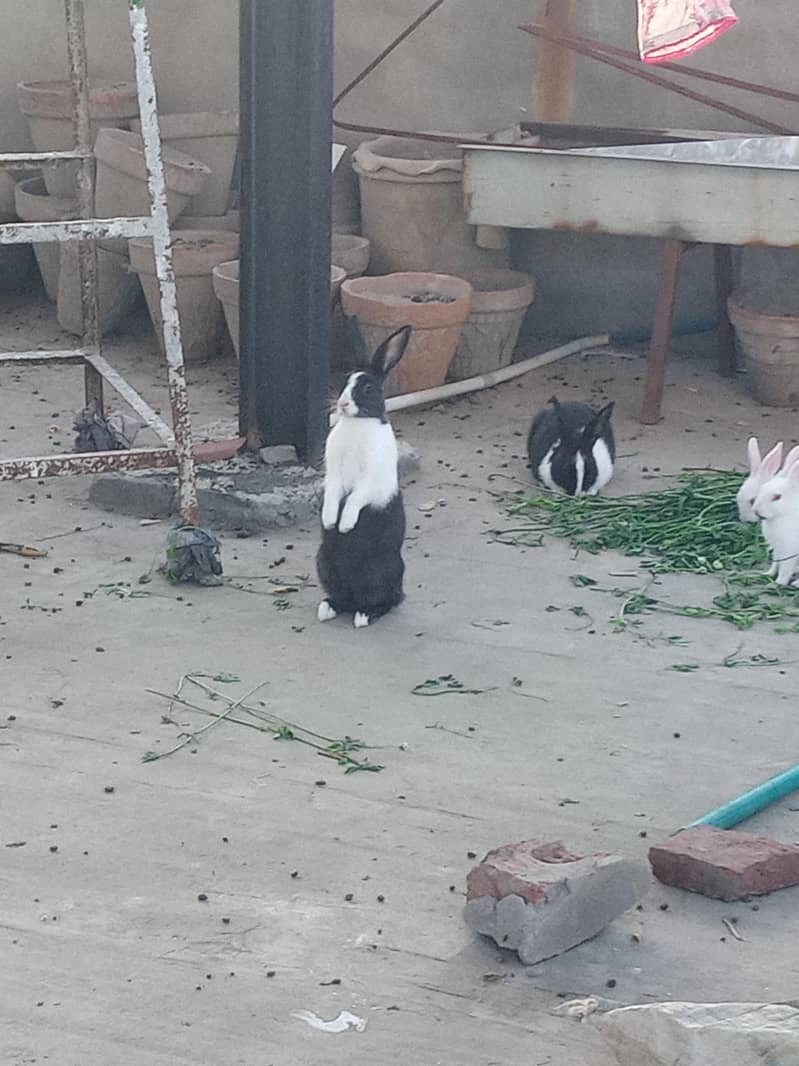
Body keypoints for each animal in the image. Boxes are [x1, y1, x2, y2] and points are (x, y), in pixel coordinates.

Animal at [316, 317, 412, 628]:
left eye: (369, 388)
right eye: (345, 382)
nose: (343, 404)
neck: (358, 423)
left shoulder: (371, 481)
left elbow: (356, 498)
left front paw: (345, 525)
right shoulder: (333, 475)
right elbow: (334, 495)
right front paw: (329, 521)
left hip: (382, 571)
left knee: (388, 600)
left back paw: (364, 615)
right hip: (324, 565)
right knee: (343, 598)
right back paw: (327, 609)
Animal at [753, 457, 799, 586]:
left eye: (777, 497)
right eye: (762, 489)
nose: (756, 510)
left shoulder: (790, 551)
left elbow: (785, 570)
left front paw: (777, 583)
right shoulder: (777, 549)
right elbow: (776, 563)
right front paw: (768, 574)